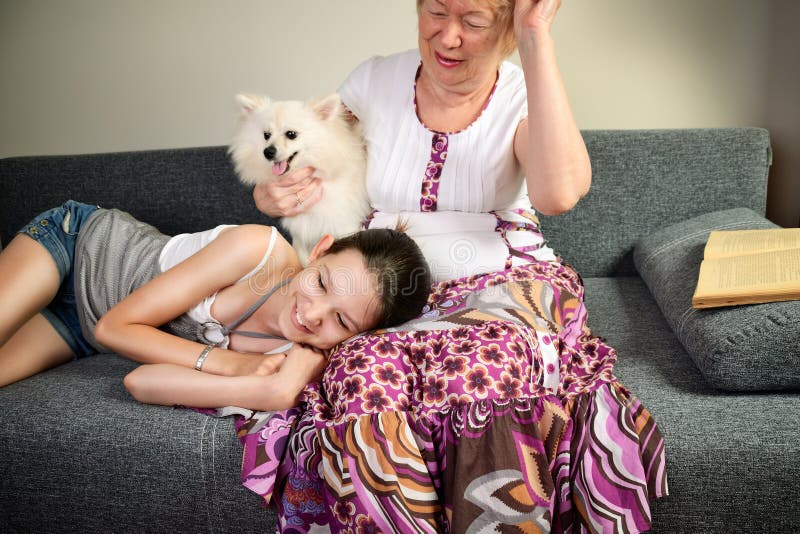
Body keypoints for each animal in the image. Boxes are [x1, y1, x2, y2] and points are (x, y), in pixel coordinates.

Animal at [230, 96, 370, 266]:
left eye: (291, 134)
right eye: (266, 135)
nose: (268, 151)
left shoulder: (344, 225)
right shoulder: (300, 230)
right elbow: (302, 257)